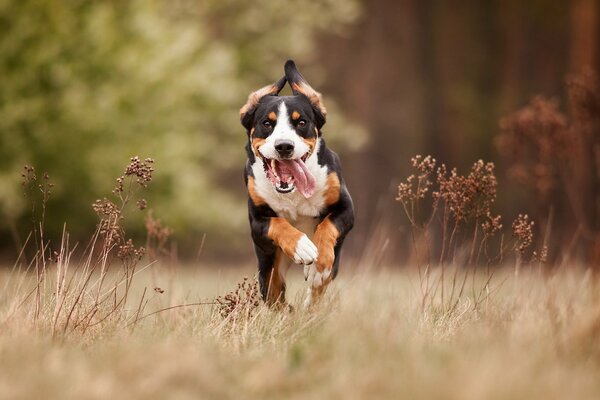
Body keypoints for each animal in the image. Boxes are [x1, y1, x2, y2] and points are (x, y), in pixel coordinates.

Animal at [239, 61, 352, 308]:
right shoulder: (257, 221)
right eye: (267, 123)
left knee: (320, 288)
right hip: (267, 270)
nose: (284, 146)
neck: (293, 194)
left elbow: (327, 226)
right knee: (276, 296)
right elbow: (278, 223)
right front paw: (302, 246)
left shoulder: (346, 208)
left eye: (301, 122)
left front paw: (317, 264)